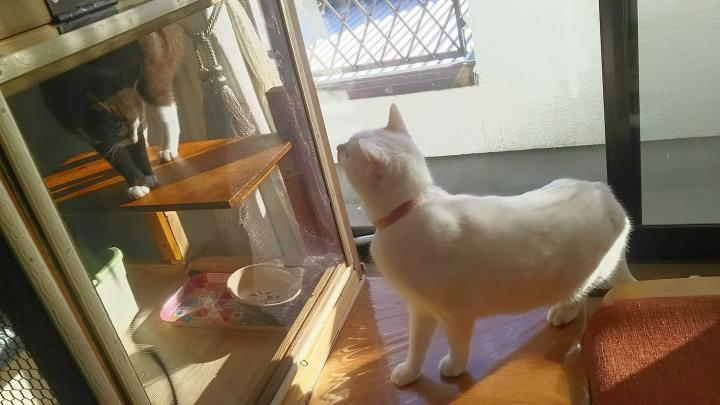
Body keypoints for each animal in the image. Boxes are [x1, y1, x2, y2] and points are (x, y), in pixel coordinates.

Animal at [40, 24, 184, 199]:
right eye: (118, 128)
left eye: (123, 127)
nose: (132, 139)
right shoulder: (91, 132)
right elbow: (118, 159)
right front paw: (137, 185)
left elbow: (138, 147)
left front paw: (148, 175)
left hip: (150, 68)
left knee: (164, 104)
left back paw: (168, 150)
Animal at [336, 104, 637, 386]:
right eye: (345, 144)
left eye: (348, 151)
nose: (338, 146)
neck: (408, 209)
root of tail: (605, 193)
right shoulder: (420, 309)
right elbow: (417, 345)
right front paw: (410, 372)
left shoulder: (455, 315)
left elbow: (457, 345)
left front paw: (454, 368)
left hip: (586, 271)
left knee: (581, 293)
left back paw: (564, 310)